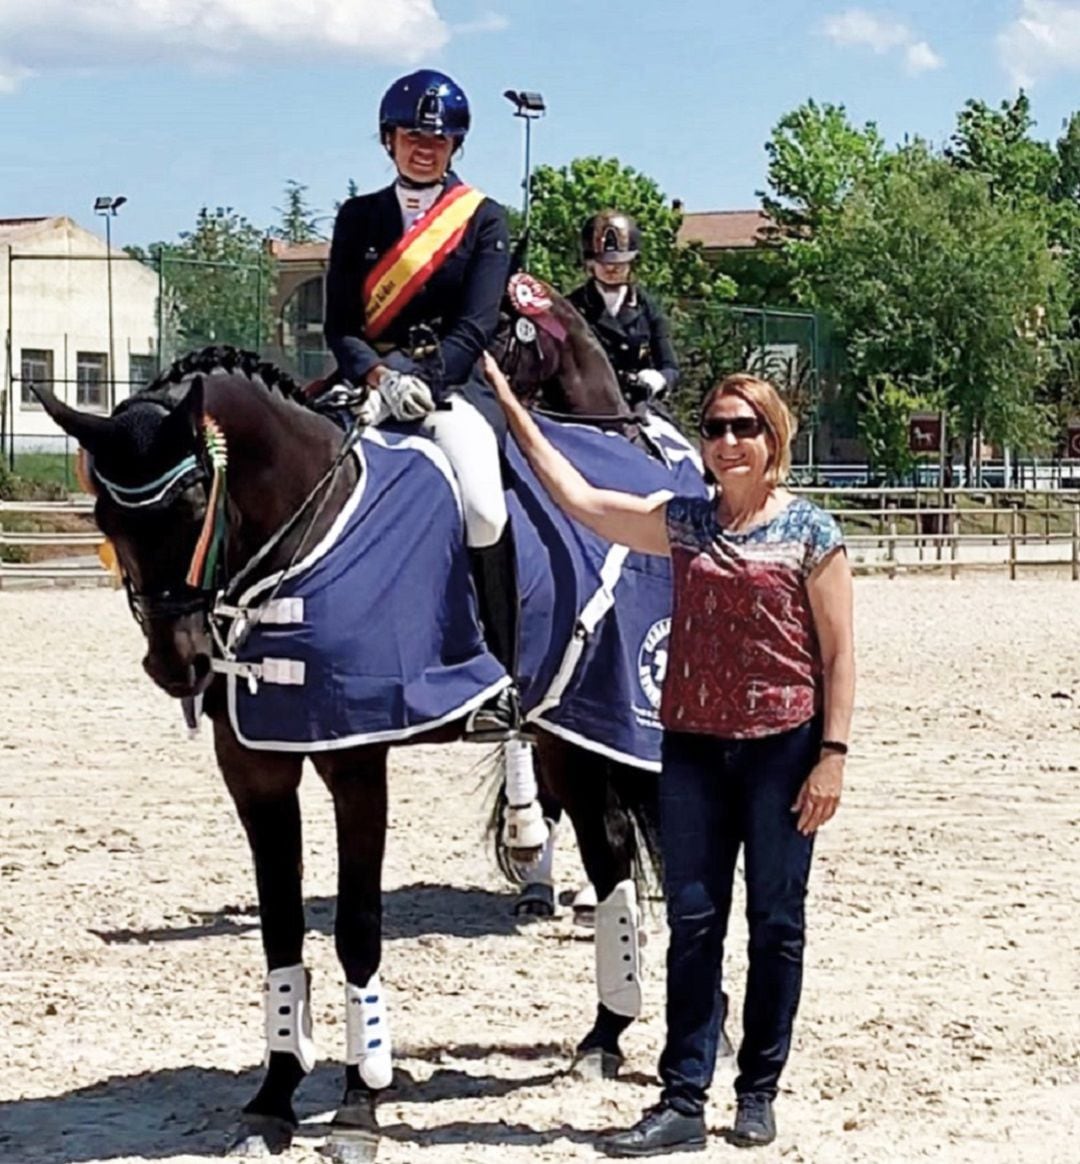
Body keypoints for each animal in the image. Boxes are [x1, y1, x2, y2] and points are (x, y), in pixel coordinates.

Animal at [33, 332, 684, 1159]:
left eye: (190, 506)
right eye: (104, 517)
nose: (176, 664)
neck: (306, 530)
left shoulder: (356, 760)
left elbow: (357, 927)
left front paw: (359, 1101)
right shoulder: (255, 769)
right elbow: (280, 928)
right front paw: (274, 1097)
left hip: (637, 721)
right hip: (565, 729)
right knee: (609, 855)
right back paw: (604, 1035)